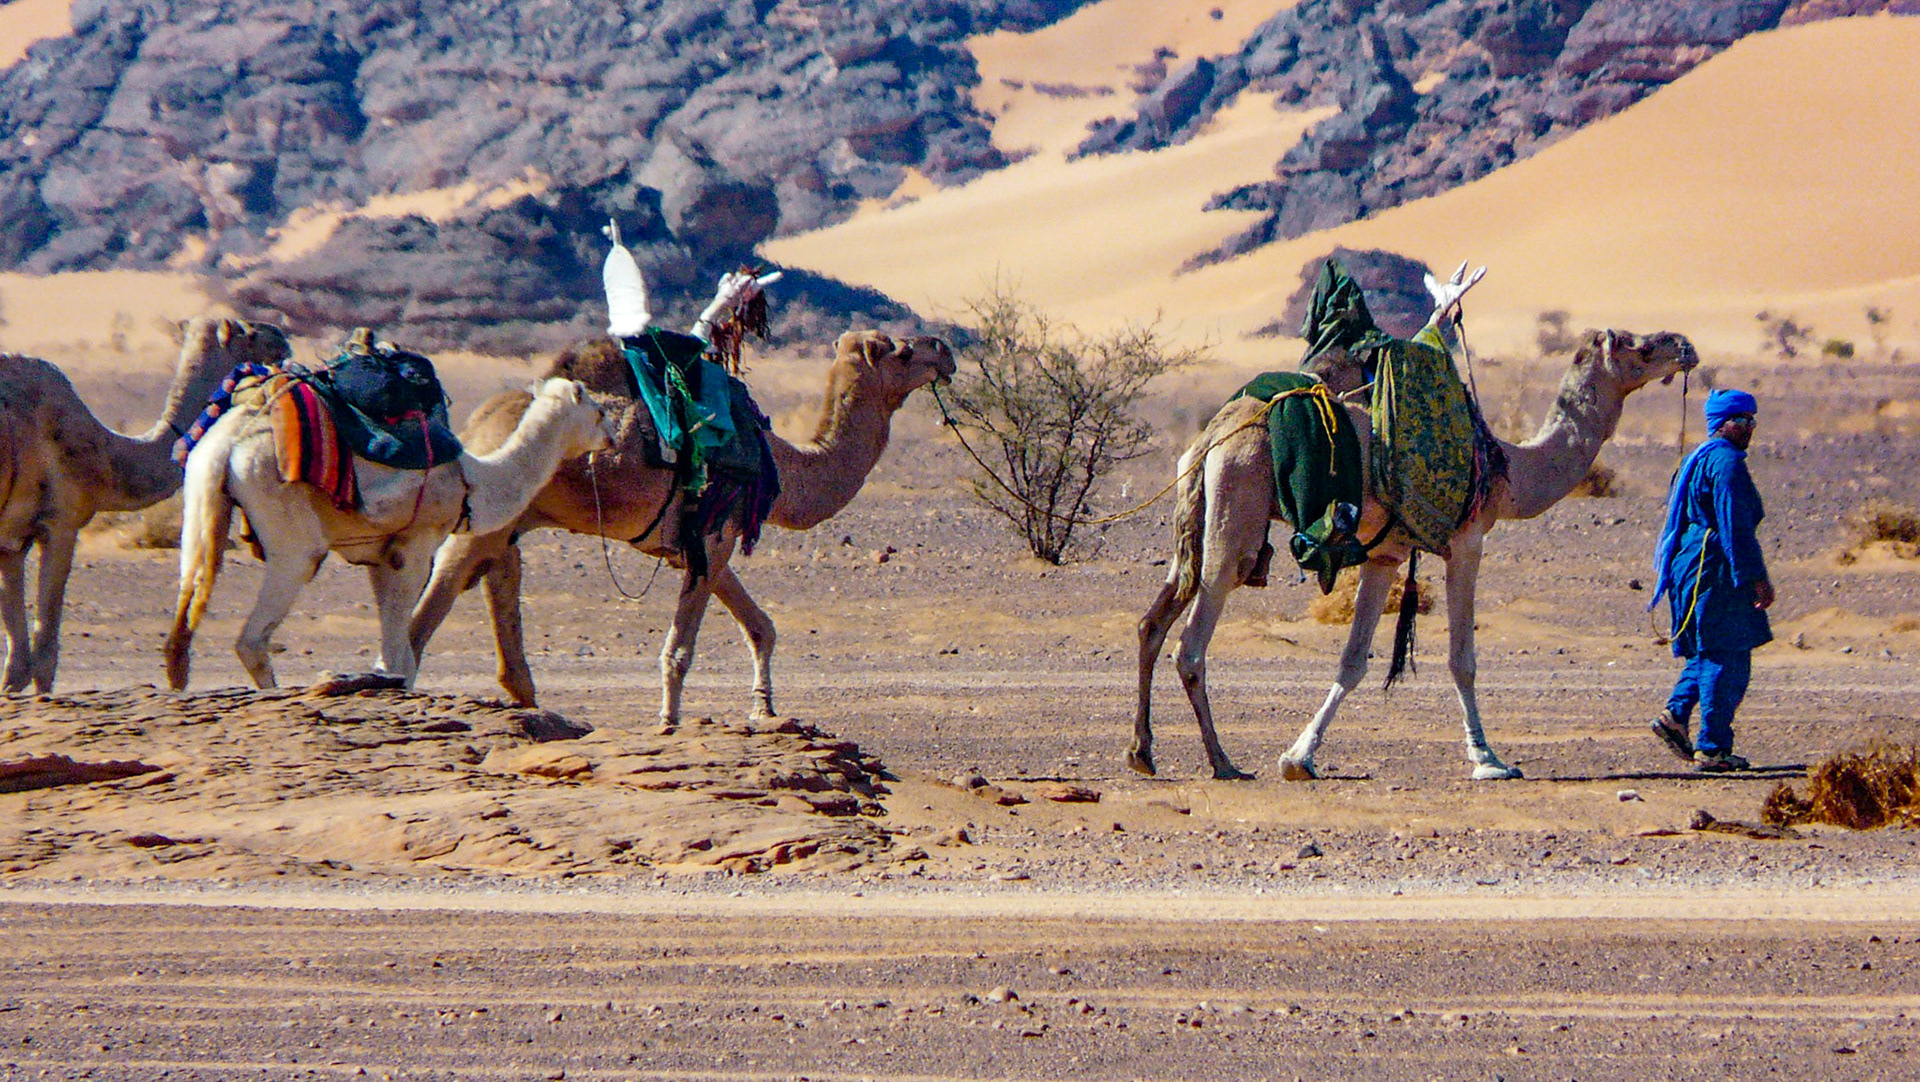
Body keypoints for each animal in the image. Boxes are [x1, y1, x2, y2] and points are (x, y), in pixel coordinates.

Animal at [0, 317, 291, 693]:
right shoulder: (61, 525)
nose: (283, 337)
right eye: (250, 333)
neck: (108, 454)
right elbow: (43, 655)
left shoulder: (11, 542)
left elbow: (16, 666)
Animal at [163, 376, 613, 691]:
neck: (477, 481)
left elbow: (394, 656)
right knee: (254, 636)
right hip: (287, 524)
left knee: (186, 606)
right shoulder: (415, 546)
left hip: (200, 497)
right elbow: (402, 658)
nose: (609, 438)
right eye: (597, 410)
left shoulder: (379, 556)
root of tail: (229, 443)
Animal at [406, 328, 956, 726]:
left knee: (500, 580)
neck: (781, 465)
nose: (946, 350)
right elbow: (681, 650)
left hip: (508, 523)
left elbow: (761, 626)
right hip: (486, 518)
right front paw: (669, 721)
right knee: (428, 611)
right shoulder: (715, 538)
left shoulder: (700, 545)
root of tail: (474, 428)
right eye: (902, 351)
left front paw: (763, 707)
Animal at [1132, 324, 1699, 781]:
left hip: (1196, 514)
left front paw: (1300, 757)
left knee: (1152, 622)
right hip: (1239, 505)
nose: (1685, 347)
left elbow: (1352, 662)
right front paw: (1489, 760)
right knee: (1193, 640)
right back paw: (1222, 762)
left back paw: (1143, 753)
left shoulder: (1385, 557)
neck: (1505, 469)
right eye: (1639, 345)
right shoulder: (1467, 543)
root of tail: (1212, 434)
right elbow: (1461, 660)